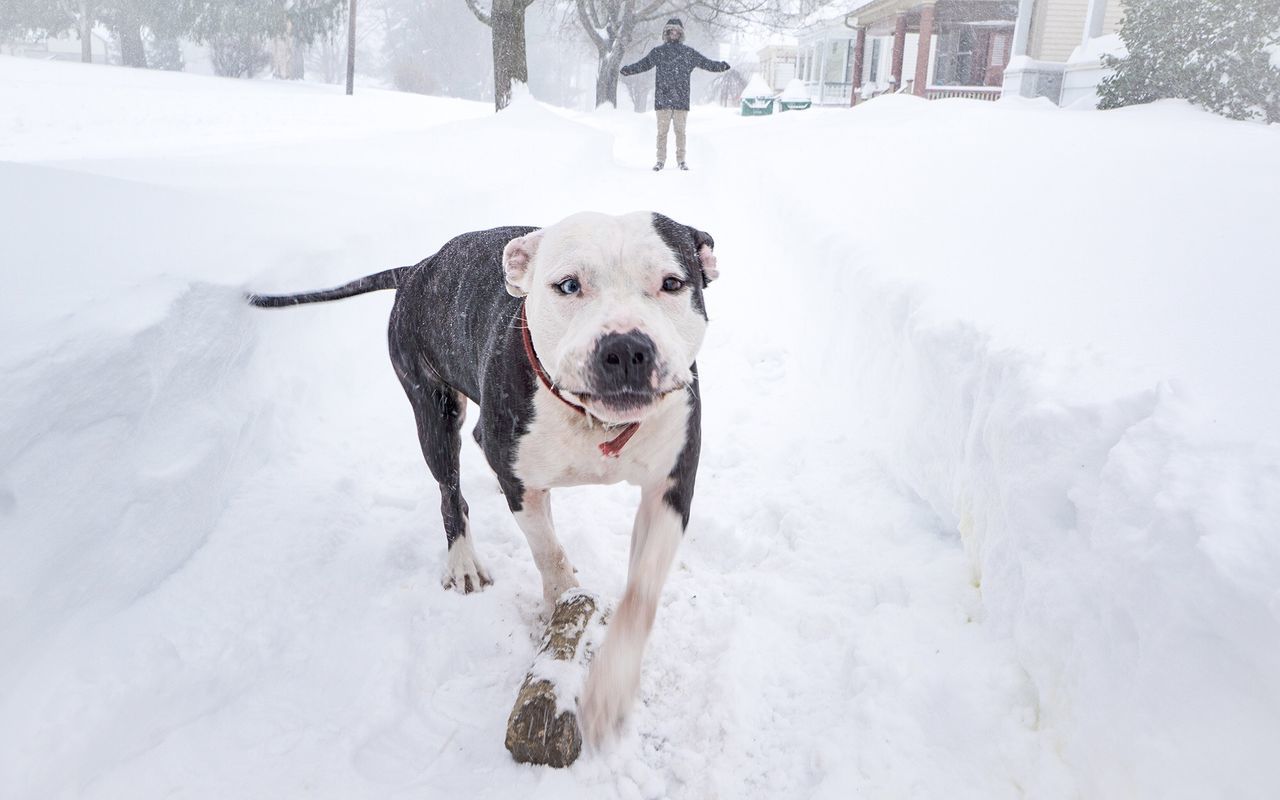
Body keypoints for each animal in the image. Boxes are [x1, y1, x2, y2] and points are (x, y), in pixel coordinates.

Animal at [244, 211, 716, 742]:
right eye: (568, 285)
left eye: (672, 283)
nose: (626, 346)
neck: (594, 421)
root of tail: (417, 268)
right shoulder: (523, 485)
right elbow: (549, 555)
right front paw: (562, 610)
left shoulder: (670, 486)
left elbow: (641, 594)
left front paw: (611, 688)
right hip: (432, 408)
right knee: (450, 492)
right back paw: (463, 560)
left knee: (478, 443)